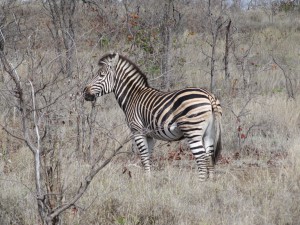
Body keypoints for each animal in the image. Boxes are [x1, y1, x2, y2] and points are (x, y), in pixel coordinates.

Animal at [83, 52, 221, 181]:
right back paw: (209, 184)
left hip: (192, 130)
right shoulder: (149, 135)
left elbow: (144, 157)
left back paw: (199, 183)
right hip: (209, 133)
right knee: (209, 156)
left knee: (201, 159)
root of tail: (209, 95)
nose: (85, 92)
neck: (132, 96)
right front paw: (148, 180)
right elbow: (148, 157)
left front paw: (146, 181)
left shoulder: (137, 130)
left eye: (101, 75)